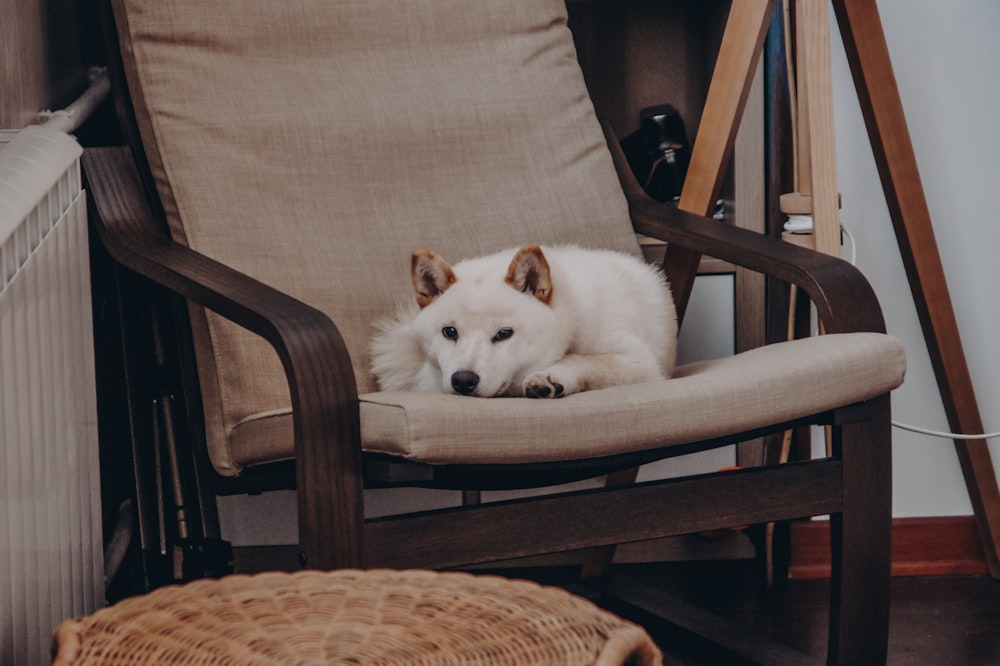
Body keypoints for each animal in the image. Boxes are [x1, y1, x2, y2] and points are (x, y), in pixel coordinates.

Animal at [372, 245, 676, 396]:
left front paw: (549, 377)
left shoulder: (639, 363)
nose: (463, 380)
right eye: (450, 332)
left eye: (504, 333)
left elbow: (585, 360)